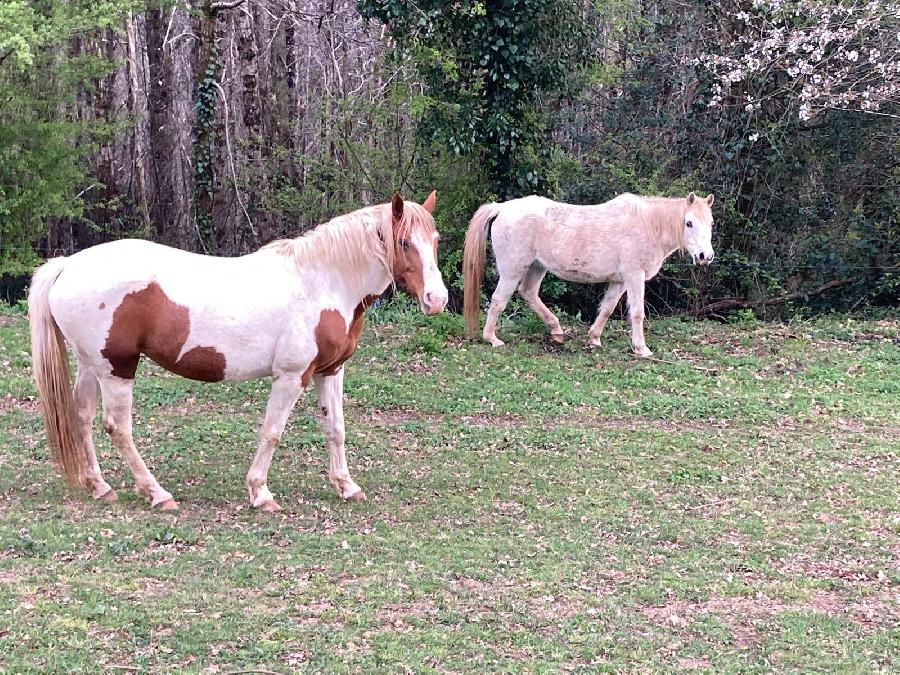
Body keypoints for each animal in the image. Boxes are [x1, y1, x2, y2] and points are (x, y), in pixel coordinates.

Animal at [28, 192, 447, 512]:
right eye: (404, 242)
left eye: (436, 240)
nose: (437, 299)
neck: (323, 281)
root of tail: (68, 265)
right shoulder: (291, 376)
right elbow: (272, 432)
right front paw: (260, 493)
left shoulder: (330, 371)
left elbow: (336, 429)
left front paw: (346, 486)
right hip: (118, 368)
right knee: (118, 427)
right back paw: (157, 494)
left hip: (92, 365)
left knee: (81, 417)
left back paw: (99, 486)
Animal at [463, 192, 715, 356]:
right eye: (689, 223)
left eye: (711, 222)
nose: (705, 256)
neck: (648, 225)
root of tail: (502, 208)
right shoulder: (634, 276)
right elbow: (637, 313)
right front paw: (642, 348)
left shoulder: (619, 280)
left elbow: (607, 309)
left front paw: (594, 338)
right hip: (513, 270)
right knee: (498, 300)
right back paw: (492, 339)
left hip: (537, 266)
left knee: (529, 293)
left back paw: (557, 331)